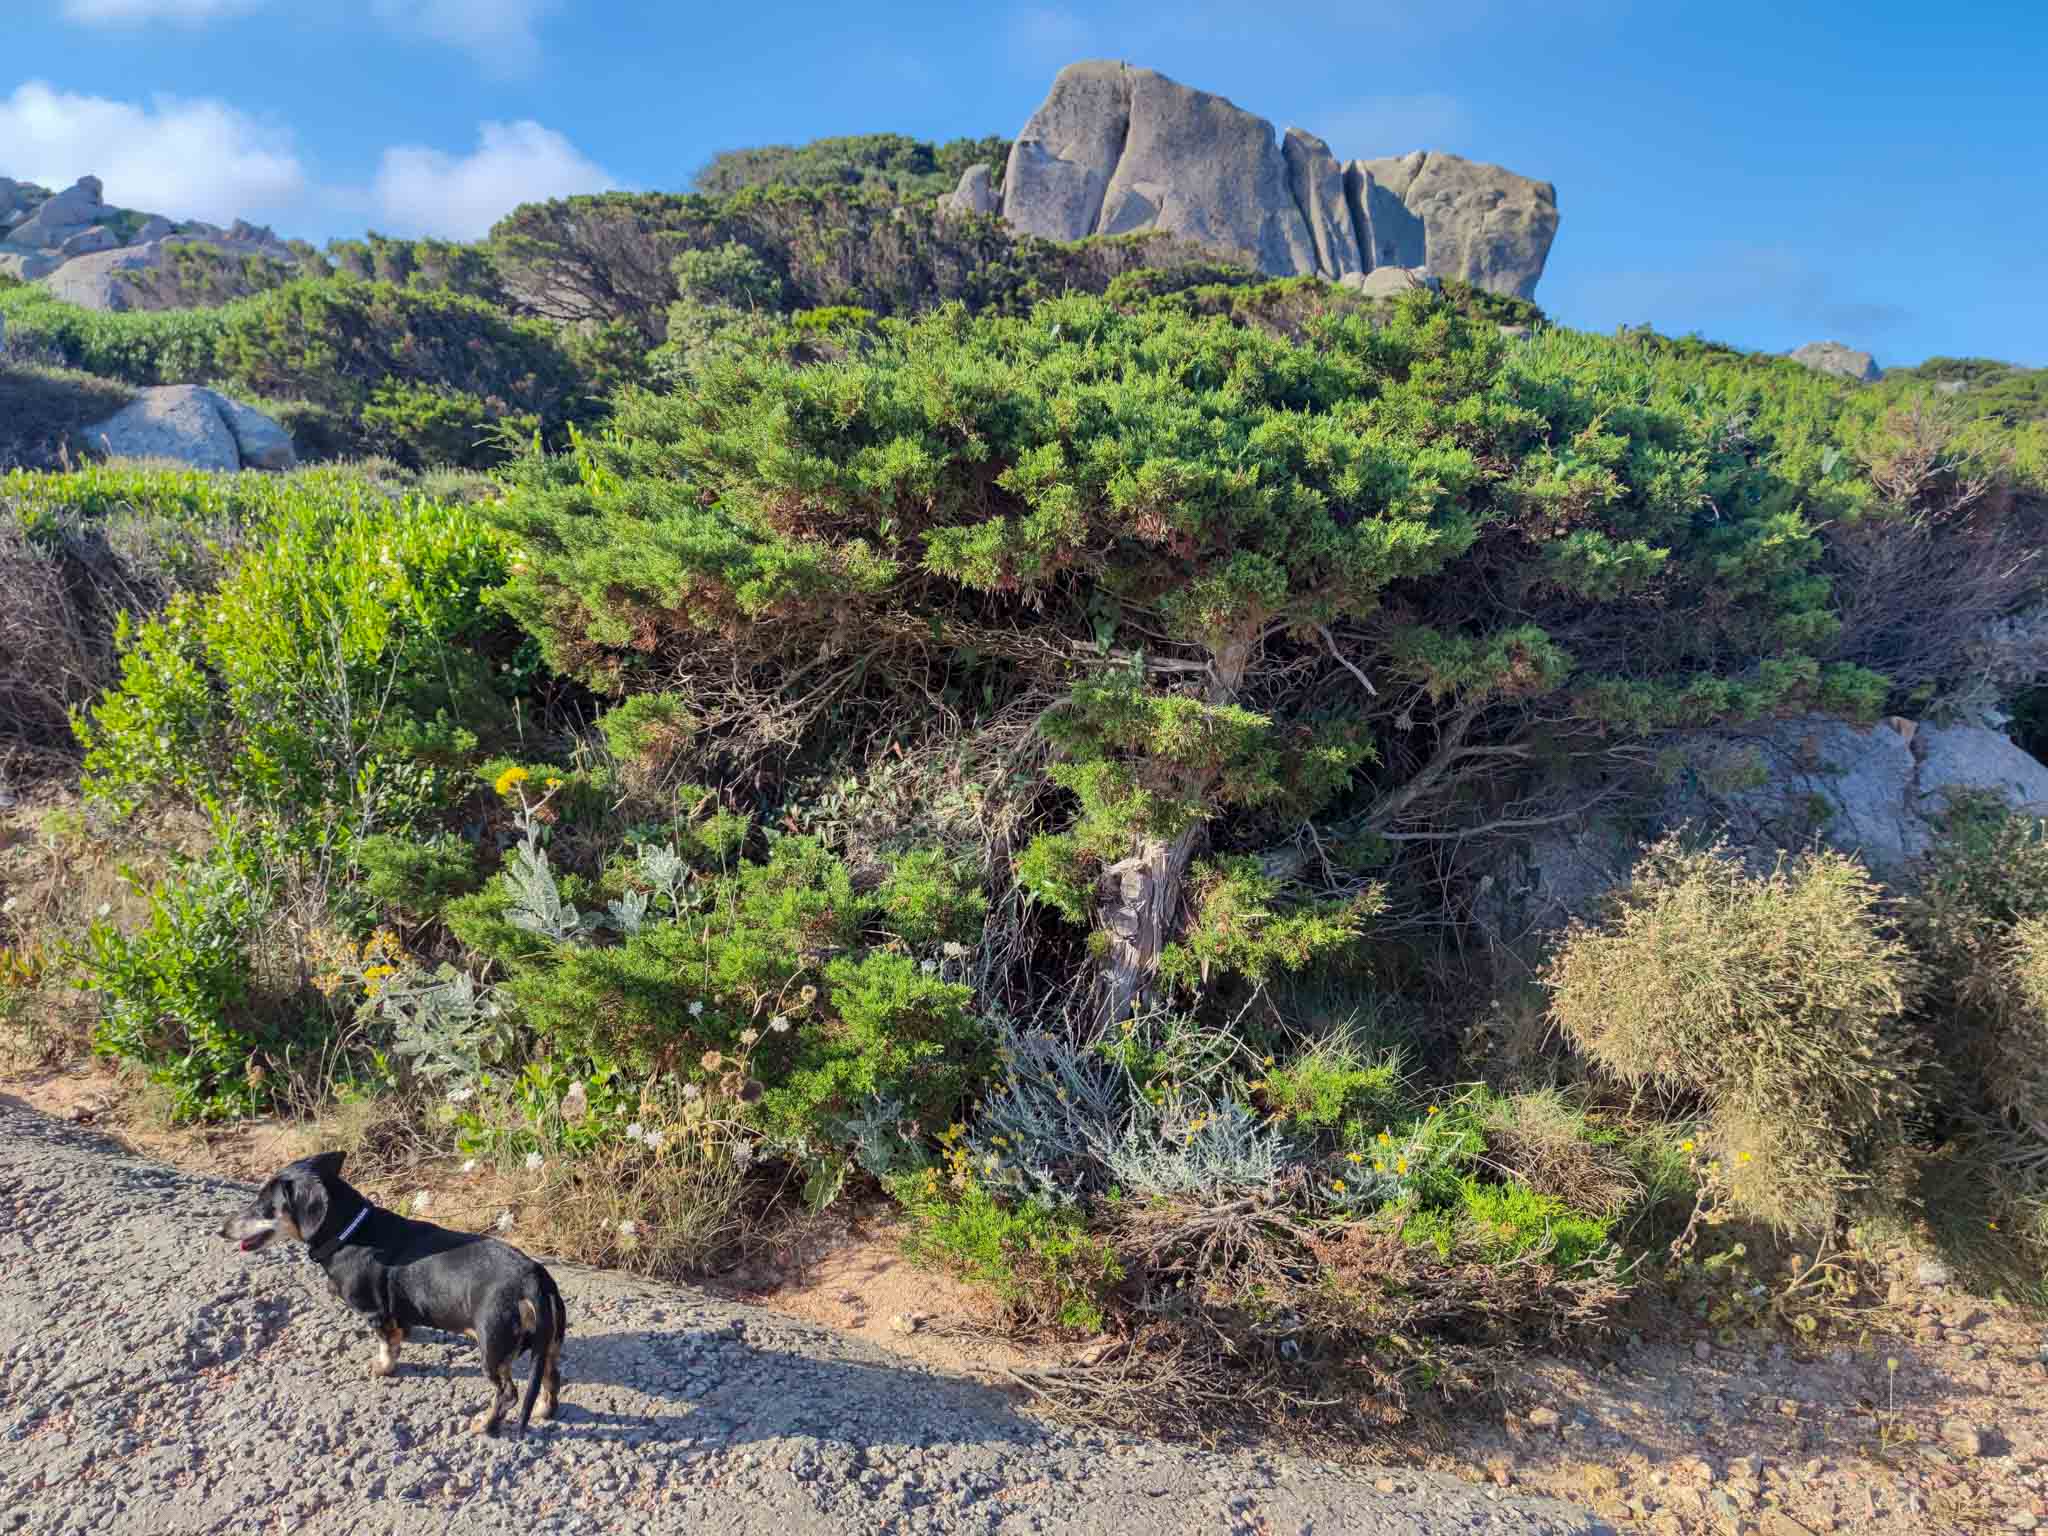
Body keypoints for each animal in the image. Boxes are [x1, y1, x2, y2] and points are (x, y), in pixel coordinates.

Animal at [217, 1155, 565, 1441]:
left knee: (507, 1395)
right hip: (550, 1343)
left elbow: (387, 1345)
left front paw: (382, 1368)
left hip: (492, 1349)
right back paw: (544, 1410)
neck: (350, 1234)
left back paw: (485, 1424)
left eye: (264, 1206)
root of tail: (531, 1276)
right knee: (552, 1375)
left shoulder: (374, 1312)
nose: (222, 1231)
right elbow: (401, 1330)